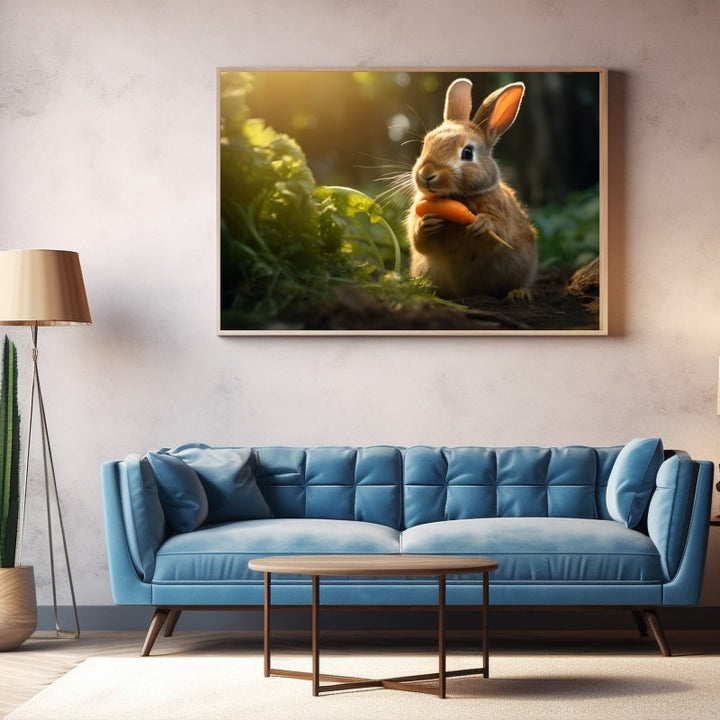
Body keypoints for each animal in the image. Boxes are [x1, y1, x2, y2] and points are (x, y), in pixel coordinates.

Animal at [406, 78, 537, 300]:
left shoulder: (500, 215)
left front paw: (482, 225)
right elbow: (419, 241)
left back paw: (519, 293)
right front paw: (427, 223)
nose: (426, 174)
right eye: (426, 144)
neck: (458, 198)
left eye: (467, 153)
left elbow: (495, 237)